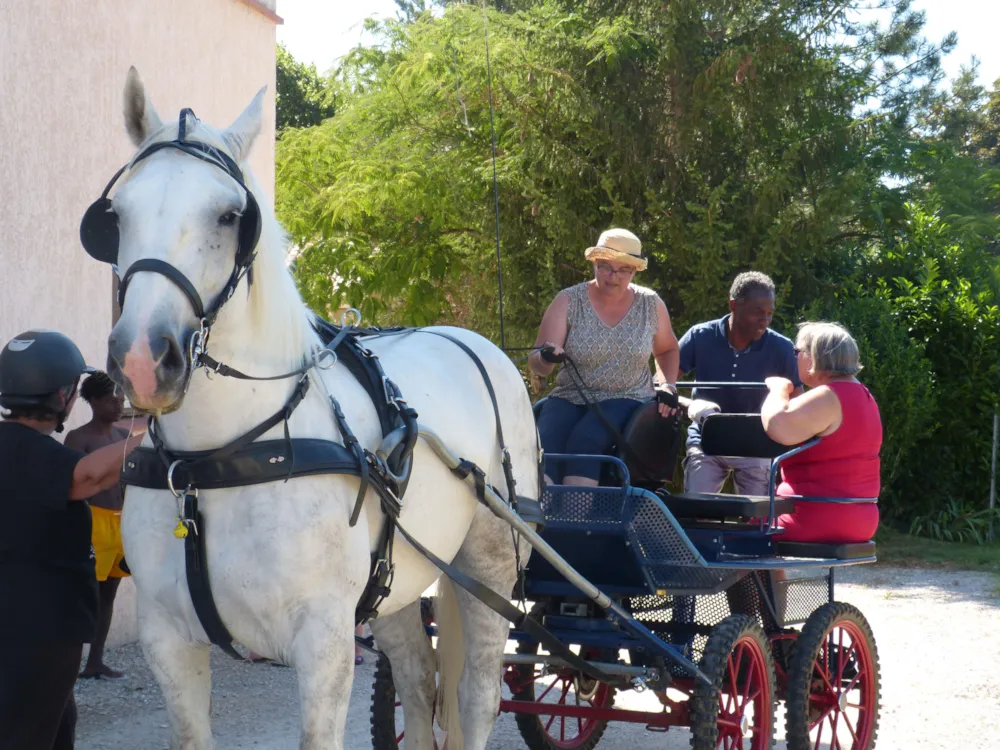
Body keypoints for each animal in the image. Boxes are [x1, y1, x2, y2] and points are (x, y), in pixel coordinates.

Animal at [105, 67, 536, 748]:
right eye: (117, 214)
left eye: (230, 215)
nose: (145, 359)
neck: (217, 460)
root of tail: (471, 341)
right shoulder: (167, 640)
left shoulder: (326, 643)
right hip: (395, 585)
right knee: (418, 682)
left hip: (489, 566)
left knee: (476, 697)